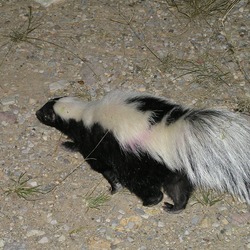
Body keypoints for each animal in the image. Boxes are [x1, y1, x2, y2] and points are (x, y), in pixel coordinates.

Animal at [35, 91, 250, 212]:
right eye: (45, 106)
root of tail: (173, 128)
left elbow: (103, 168)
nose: (36, 112)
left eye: (45, 113)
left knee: (145, 185)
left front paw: (113, 187)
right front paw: (69, 144)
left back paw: (151, 202)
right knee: (178, 187)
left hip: (138, 162)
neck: (83, 114)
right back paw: (175, 207)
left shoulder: (99, 142)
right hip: (171, 165)